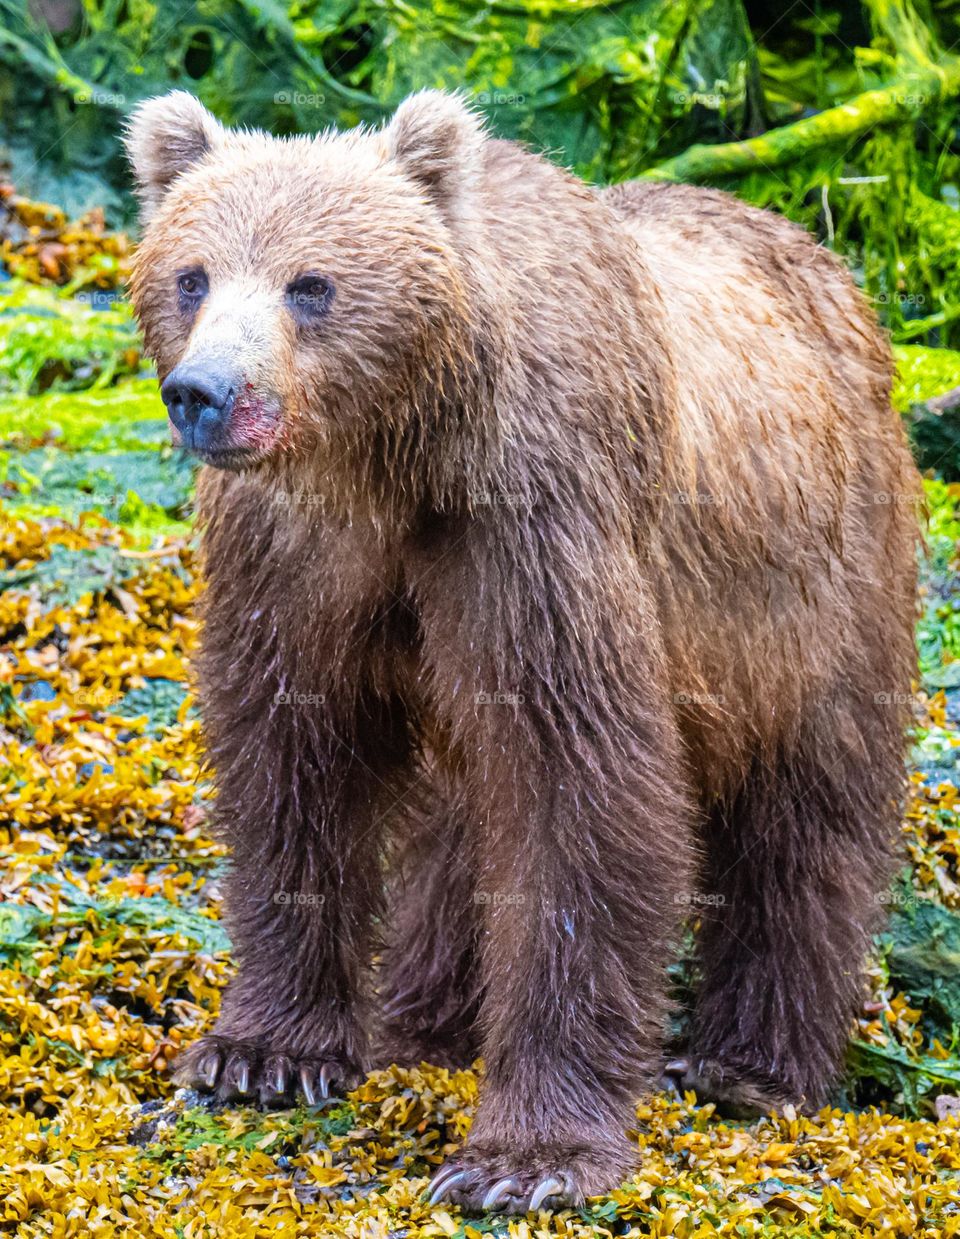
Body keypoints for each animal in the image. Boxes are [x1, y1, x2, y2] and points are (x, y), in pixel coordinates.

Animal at [124, 89, 920, 1214]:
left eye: (312, 284)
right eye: (190, 273)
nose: (204, 392)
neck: (391, 459)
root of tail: (827, 262)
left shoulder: (538, 526)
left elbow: (573, 791)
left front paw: (527, 1157)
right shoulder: (294, 565)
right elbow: (294, 768)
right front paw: (261, 1052)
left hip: (814, 593)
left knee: (807, 815)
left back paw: (748, 1064)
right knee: (461, 821)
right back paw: (426, 1017)